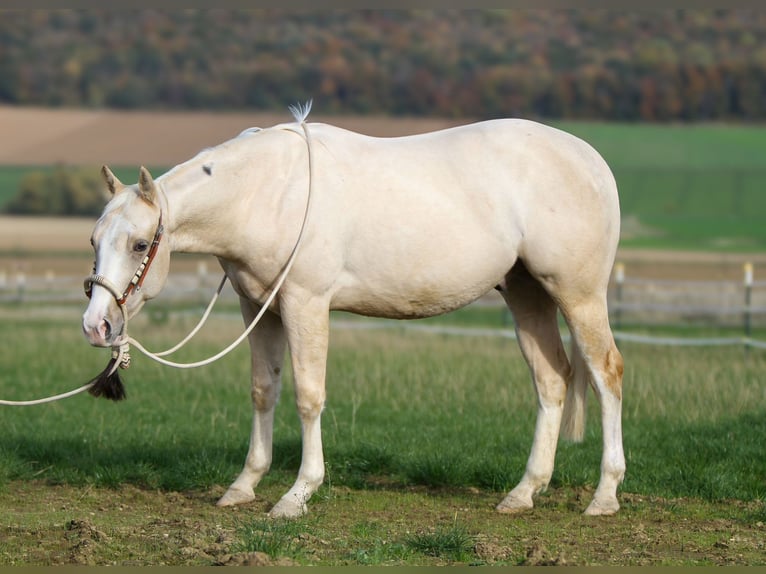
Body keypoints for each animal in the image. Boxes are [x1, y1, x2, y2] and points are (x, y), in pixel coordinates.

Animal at [82, 106, 625, 518]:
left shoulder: (305, 303)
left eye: (140, 244)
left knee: (606, 374)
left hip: (578, 295)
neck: (267, 192)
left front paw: (297, 494)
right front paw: (244, 485)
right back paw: (524, 492)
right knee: (552, 381)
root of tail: (592, 161)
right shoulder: (259, 308)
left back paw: (604, 495)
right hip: (527, 294)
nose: (96, 325)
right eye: (93, 240)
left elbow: (308, 396)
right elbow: (263, 392)